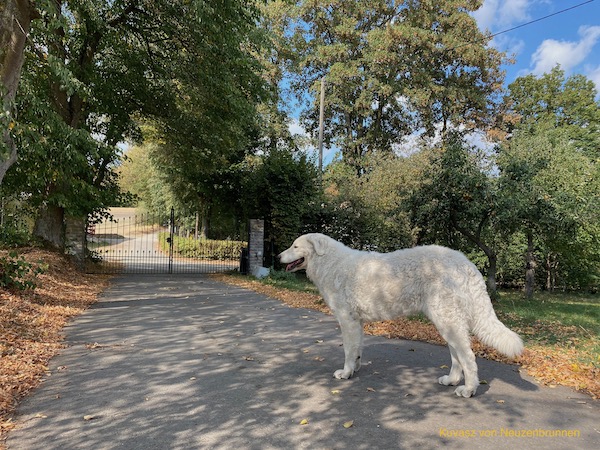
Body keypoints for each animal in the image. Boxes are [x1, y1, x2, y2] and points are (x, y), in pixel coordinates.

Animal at [278, 234, 524, 396]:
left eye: (295, 246)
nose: (279, 256)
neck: (329, 262)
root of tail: (467, 263)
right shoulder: (357, 323)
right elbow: (357, 350)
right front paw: (355, 369)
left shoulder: (347, 321)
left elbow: (348, 350)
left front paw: (346, 373)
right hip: (447, 321)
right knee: (457, 356)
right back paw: (452, 380)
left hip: (447, 319)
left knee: (468, 357)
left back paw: (469, 389)